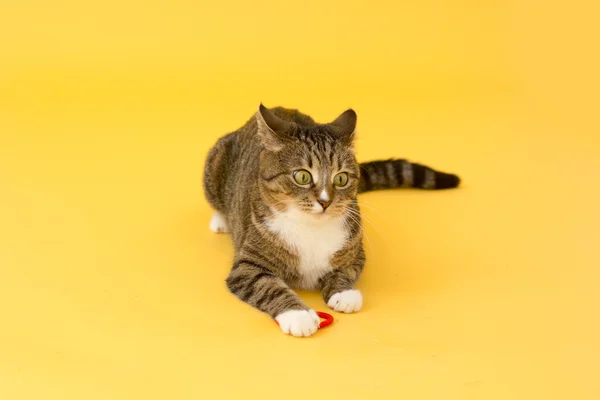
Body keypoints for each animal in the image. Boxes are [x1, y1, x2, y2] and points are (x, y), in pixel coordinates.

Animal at [202, 105, 460, 338]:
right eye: (302, 176)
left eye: (341, 178)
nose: (325, 201)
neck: (311, 228)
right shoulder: (247, 265)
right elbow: (267, 286)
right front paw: (299, 315)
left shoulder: (355, 250)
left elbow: (346, 270)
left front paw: (343, 293)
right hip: (215, 163)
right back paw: (221, 219)